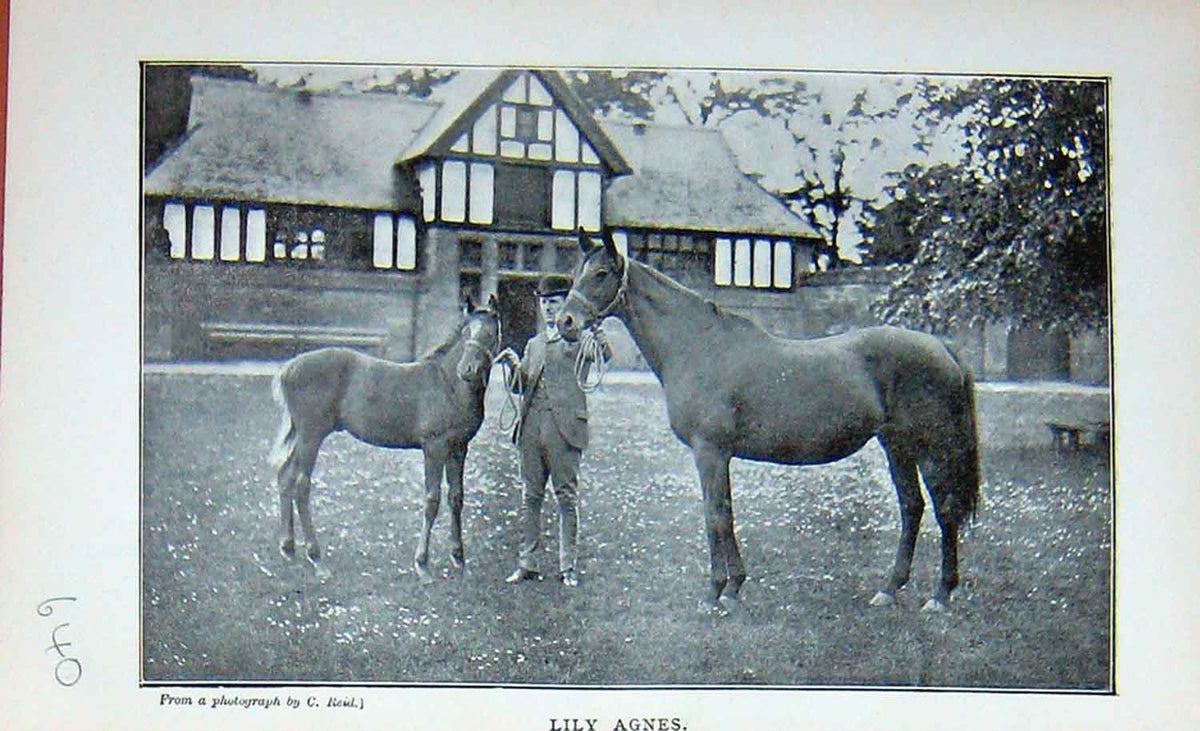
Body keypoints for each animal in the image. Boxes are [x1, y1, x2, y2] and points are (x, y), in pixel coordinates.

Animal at [268, 295, 502, 583]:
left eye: (490, 332)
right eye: (466, 331)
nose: (467, 370)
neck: (448, 385)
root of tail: (287, 368)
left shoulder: (459, 448)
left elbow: (456, 497)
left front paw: (458, 557)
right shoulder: (434, 447)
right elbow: (432, 500)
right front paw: (422, 563)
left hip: (301, 436)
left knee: (286, 478)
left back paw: (288, 548)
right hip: (311, 436)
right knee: (301, 484)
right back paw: (316, 557)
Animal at [557, 230, 980, 614]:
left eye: (600, 273)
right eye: (576, 272)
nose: (566, 322)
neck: (699, 346)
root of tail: (942, 347)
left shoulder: (709, 452)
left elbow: (715, 515)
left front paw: (714, 592)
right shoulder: (720, 455)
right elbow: (726, 513)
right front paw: (733, 588)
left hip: (930, 447)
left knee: (944, 509)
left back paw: (940, 595)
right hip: (897, 446)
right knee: (912, 506)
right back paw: (890, 589)